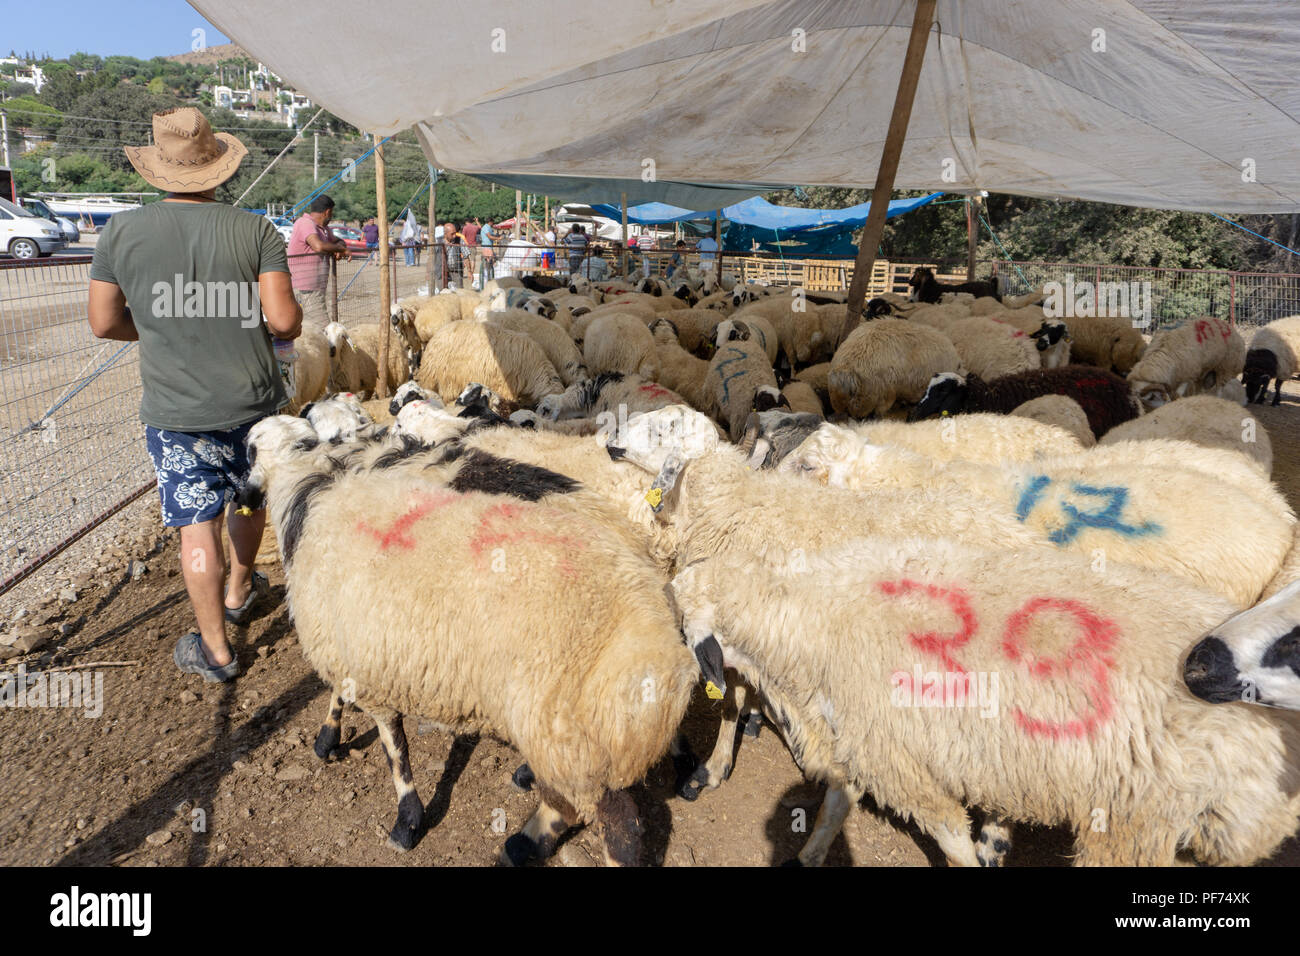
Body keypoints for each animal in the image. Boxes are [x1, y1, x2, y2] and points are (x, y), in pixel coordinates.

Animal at [237, 416, 696, 863]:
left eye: (248, 449)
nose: (242, 492)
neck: (308, 488)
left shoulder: (365, 663)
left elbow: (394, 748)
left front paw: (405, 820)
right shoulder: (355, 648)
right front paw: (328, 739)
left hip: (568, 739)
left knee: (617, 826)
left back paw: (530, 837)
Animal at [670, 538, 1300, 868]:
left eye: (679, 625)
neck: (809, 617)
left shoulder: (903, 764)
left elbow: (951, 839)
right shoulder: (867, 740)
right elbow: (832, 806)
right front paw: (808, 856)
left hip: (1135, 819)